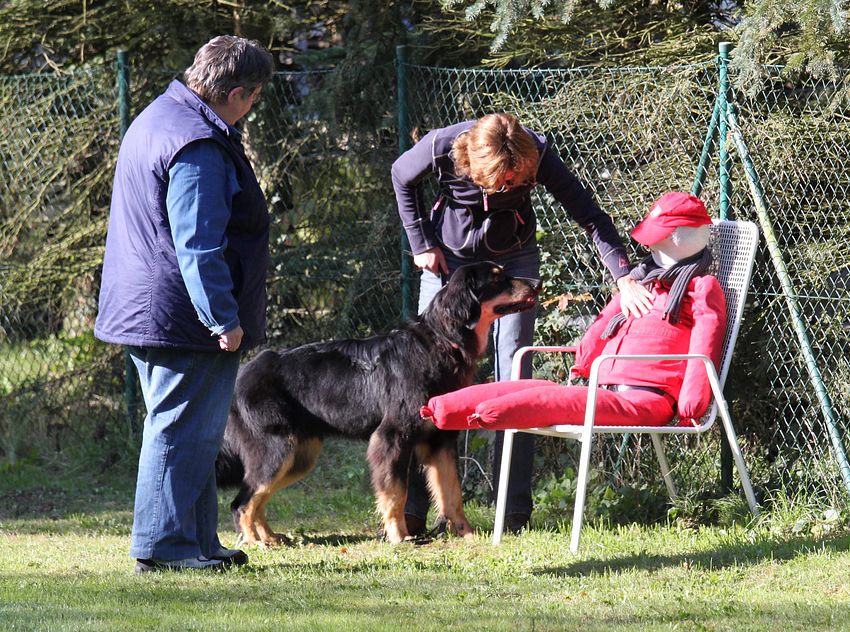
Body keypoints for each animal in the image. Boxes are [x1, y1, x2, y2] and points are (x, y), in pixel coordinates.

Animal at [215, 261, 539, 544]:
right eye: (497, 278)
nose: (536, 283)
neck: (442, 341)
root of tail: (243, 374)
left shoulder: (440, 440)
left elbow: (452, 493)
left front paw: (466, 533)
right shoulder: (393, 437)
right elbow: (396, 493)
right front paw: (399, 536)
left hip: (299, 456)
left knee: (257, 499)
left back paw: (269, 537)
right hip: (277, 451)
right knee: (242, 502)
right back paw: (253, 541)